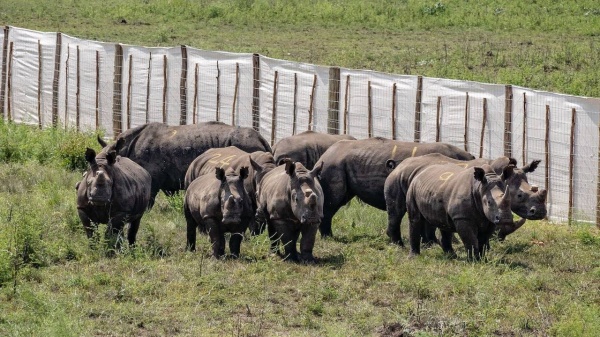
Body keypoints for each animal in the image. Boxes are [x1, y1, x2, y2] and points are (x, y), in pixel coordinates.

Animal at [314, 136, 474, 236]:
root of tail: (323, 157)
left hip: (338, 163)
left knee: (339, 200)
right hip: (333, 164)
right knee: (333, 202)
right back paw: (328, 236)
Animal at [384, 154, 548, 245]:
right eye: (520, 196)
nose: (540, 212)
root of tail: (399, 165)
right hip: (398, 178)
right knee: (397, 211)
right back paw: (398, 244)